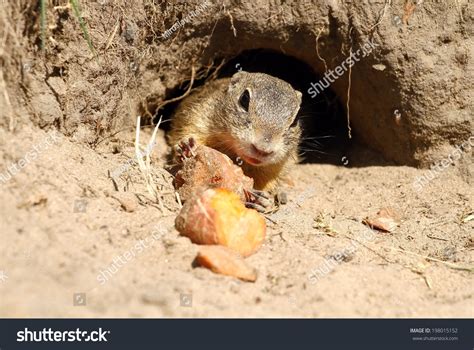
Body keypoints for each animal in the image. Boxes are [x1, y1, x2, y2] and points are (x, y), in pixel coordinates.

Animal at [168, 71, 302, 200]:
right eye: (244, 99)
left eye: (295, 121)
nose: (262, 150)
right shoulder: (198, 116)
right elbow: (189, 131)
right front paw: (186, 147)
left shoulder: (275, 168)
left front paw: (263, 198)